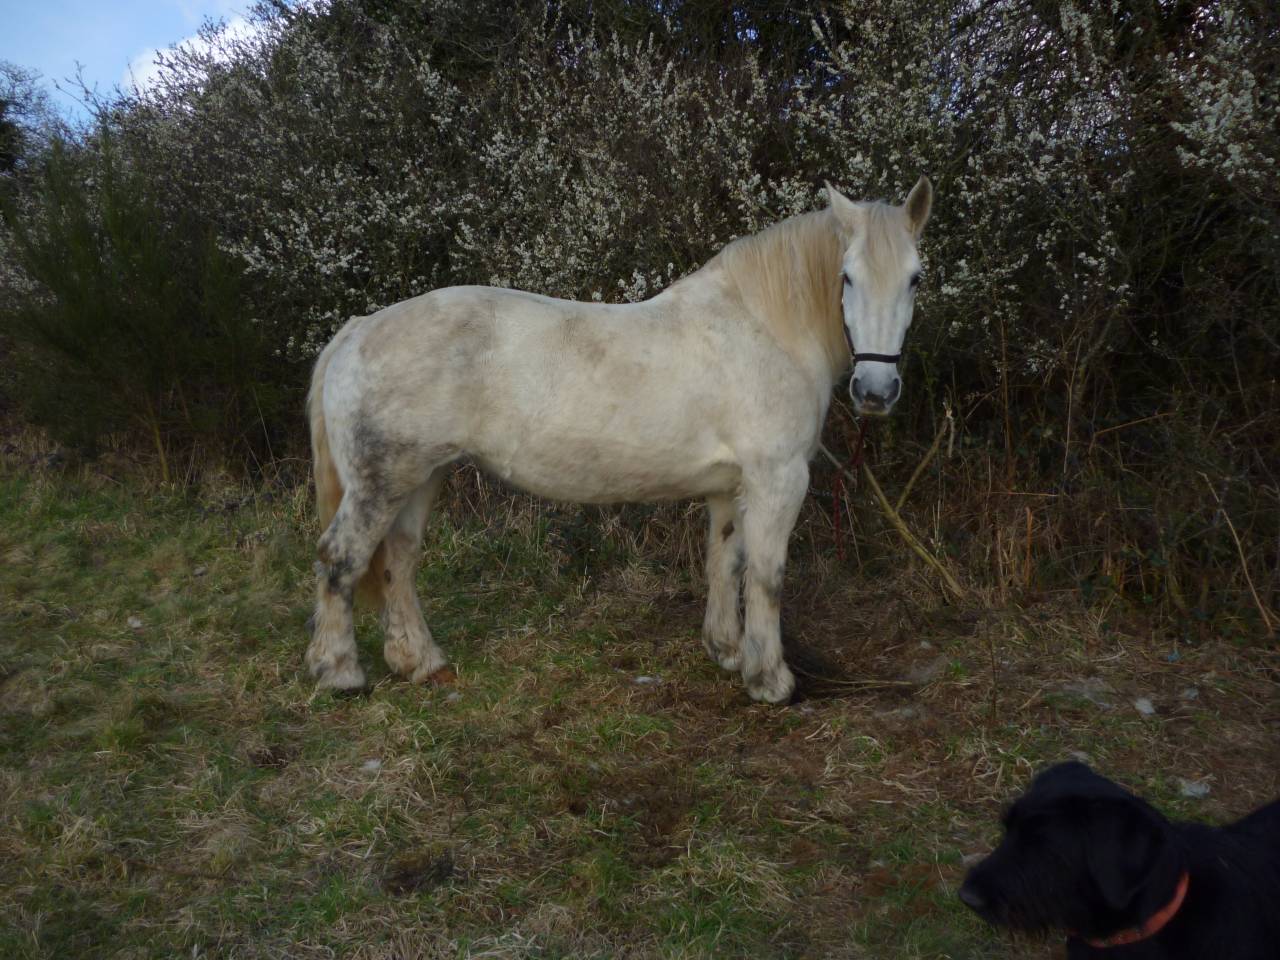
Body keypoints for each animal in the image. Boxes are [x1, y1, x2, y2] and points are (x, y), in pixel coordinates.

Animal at [305, 178, 932, 704]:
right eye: (847, 276)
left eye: (915, 278)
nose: (876, 391)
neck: (764, 328)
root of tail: (358, 330)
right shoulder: (778, 478)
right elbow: (767, 574)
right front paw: (770, 679)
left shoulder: (731, 486)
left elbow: (725, 561)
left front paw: (727, 651)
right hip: (384, 481)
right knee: (342, 556)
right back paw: (340, 672)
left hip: (421, 476)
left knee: (399, 559)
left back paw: (420, 662)